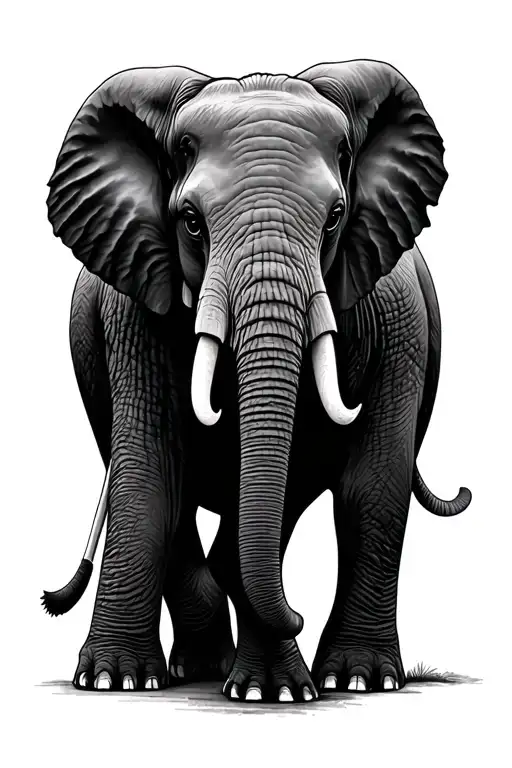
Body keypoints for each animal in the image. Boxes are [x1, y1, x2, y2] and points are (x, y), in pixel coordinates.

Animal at [42, 59, 471, 703]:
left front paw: (346, 682)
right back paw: (196, 667)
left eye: (336, 218)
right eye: (191, 223)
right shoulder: (131, 311)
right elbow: (150, 474)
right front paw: (112, 680)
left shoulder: (398, 319)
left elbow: (367, 487)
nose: (297, 612)